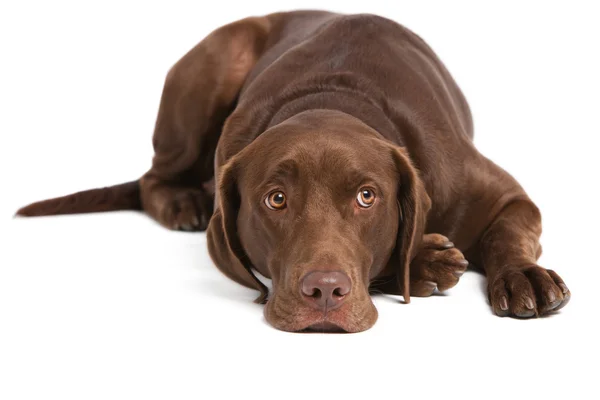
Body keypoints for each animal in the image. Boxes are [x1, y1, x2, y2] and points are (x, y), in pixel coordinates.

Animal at [16, 10, 568, 332]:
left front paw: (522, 275)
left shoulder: (504, 196)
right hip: (215, 64)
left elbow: (506, 234)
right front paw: (426, 261)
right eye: (275, 199)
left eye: (367, 197)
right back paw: (181, 201)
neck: (332, 95)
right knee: (154, 176)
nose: (324, 292)